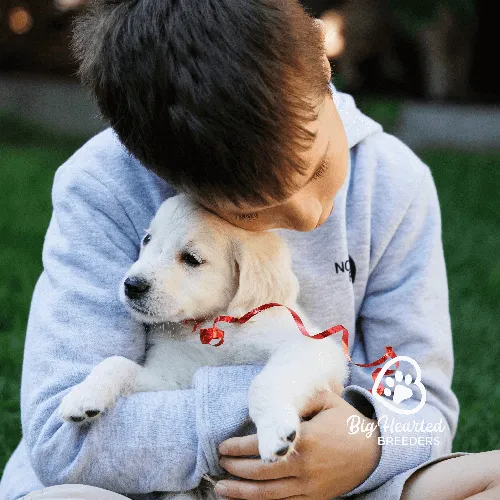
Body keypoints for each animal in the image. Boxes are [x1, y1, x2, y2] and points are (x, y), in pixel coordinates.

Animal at [58, 193, 348, 498]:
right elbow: (116, 363)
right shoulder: (171, 381)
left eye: (191, 259)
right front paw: (83, 396)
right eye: (147, 239)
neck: (212, 326)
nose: (131, 285)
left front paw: (275, 430)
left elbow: (265, 381)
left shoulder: (311, 347)